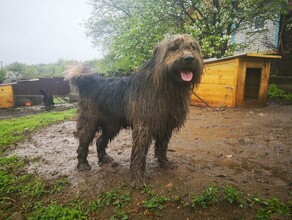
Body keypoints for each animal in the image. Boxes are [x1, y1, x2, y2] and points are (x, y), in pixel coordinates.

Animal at [65, 34, 203, 187]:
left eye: (193, 47)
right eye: (173, 48)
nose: (189, 58)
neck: (164, 87)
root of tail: (90, 82)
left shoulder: (166, 125)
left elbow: (162, 147)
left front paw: (164, 163)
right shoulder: (144, 126)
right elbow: (139, 153)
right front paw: (137, 178)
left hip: (112, 125)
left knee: (100, 140)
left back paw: (105, 158)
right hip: (90, 121)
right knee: (83, 141)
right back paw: (83, 164)